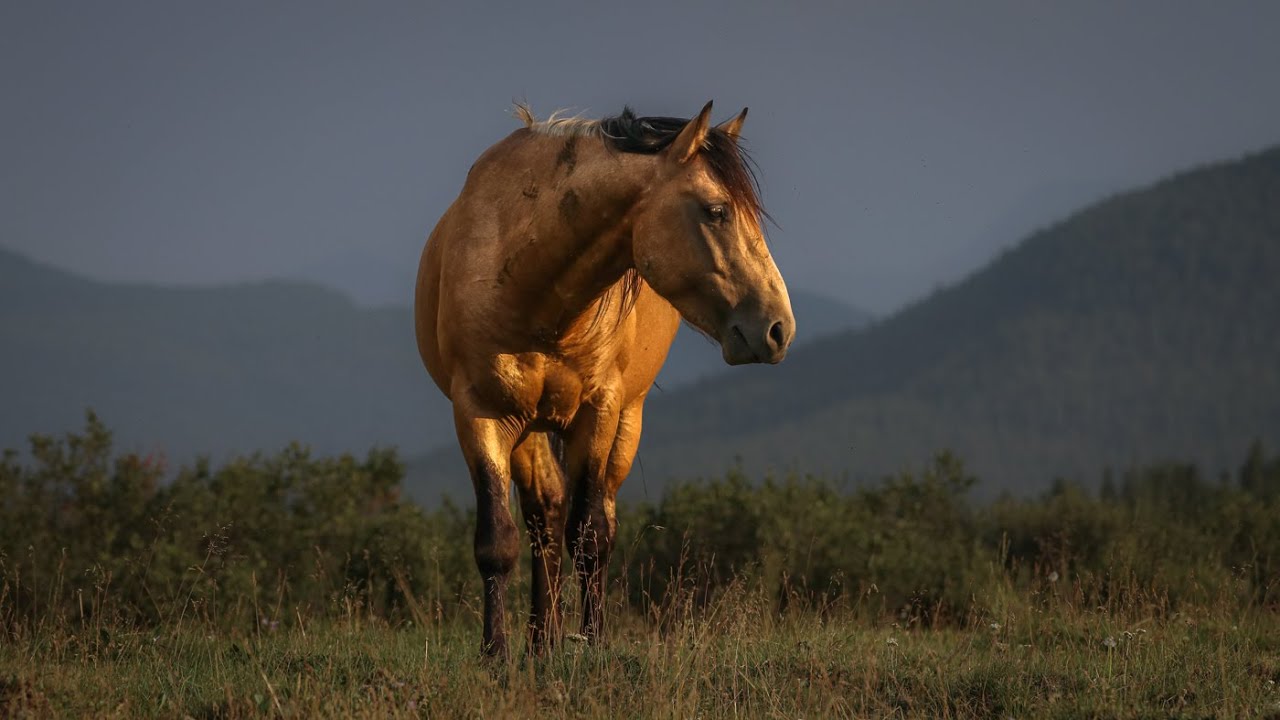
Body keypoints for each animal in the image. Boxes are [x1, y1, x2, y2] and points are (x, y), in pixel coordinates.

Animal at [414, 101, 794, 657]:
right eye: (716, 211)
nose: (778, 328)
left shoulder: (599, 409)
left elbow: (591, 534)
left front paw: (592, 645)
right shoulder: (479, 412)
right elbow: (497, 540)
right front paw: (495, 653)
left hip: (624, 423)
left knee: (593, 521)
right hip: (529, 429)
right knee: (545, 517)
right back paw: (541, 641)